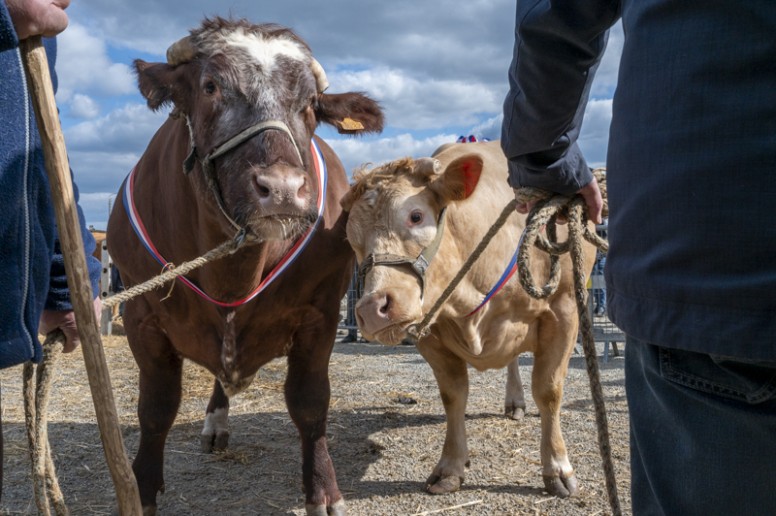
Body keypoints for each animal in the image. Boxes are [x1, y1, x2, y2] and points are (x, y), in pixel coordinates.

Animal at [106, 18, 384, 512]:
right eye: (210, 86)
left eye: (311, 104)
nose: (283, 188)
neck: (233, 271)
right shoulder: (141, 314)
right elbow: (155, 409)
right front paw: (142, 490)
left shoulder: (321, 315)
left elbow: (310, 405)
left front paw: (322, 489)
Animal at [342, 141, 596, 500]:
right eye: (352, 239)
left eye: (416, 215)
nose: (371, 308)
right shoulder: (429, 335)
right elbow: (453, 396)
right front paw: (450, 468)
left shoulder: (565, 312)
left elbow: (548, 391)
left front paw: (558, 468)